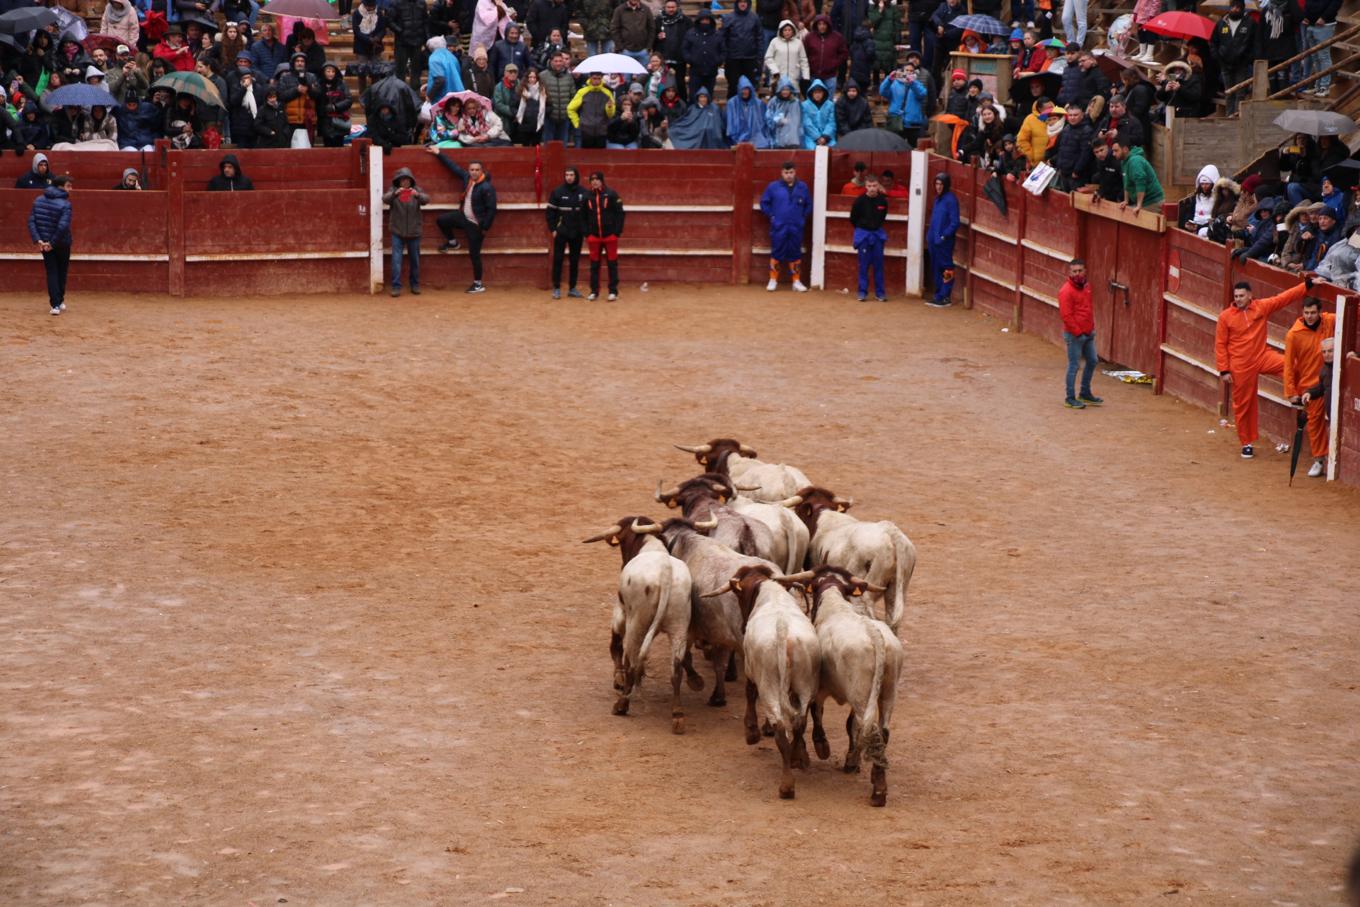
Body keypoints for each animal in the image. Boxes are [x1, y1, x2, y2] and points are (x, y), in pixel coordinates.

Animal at [587, 514, 712, 734]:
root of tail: (665, 572)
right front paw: (695, 680)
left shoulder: (621, 612)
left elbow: (616, 644)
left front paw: (618, 680)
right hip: (679, 625)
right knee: (675, 668)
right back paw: (677, 715)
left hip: (636, 623)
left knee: (632, 659)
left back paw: (622, 704)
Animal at [707, 568, 821, 799]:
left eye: (739, 596)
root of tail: (783, 633)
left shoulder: (751, 671)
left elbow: (750, 694)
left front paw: (751, 732)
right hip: (805, 682)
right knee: (800, 722)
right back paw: (796, 758)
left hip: (768, 683)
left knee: (780, 726)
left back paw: (786, 785)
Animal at [799, 568, 897, 810]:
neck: (835, 606)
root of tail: (874, 635)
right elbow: (850, 725)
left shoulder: (819, 689)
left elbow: (816, 712)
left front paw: (821, 745)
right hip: (885, 693)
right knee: (880, 730)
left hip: (861, 696)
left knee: (871, 730)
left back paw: (878, 792)